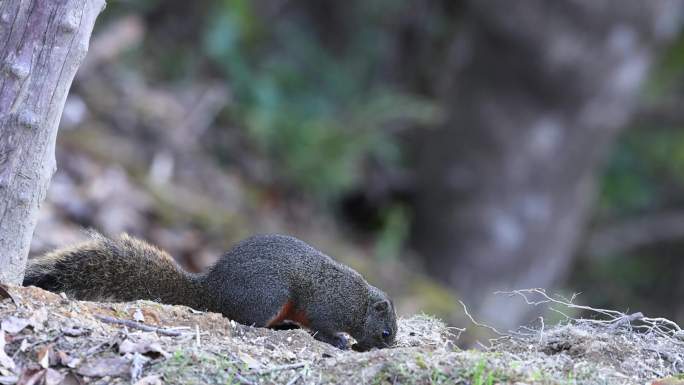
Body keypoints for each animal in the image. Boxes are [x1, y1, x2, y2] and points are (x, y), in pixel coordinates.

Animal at [22, 232, 396, 350]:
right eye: (386, 332)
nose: (389, 346)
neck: (359, 305)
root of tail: (212, 292)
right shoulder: (326, 307)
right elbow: (321, 328)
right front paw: (341, 341)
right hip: (269, 297)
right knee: (244, 320)